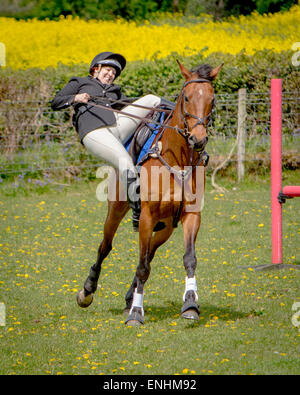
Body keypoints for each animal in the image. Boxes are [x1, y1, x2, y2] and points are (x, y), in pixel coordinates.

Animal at [77, 61, 223, 328]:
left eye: (212, 99)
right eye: (187, 98)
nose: (198, 140)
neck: (177, 158)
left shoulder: (190, 216)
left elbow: (188, 259)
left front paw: (190, 304)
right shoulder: (146, 218)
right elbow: (143, 267)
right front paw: (136, 313)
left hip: (166, 226)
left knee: (149, 253)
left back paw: (129, 296)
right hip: (118, 211)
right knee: (106, 247)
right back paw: (88, 290)